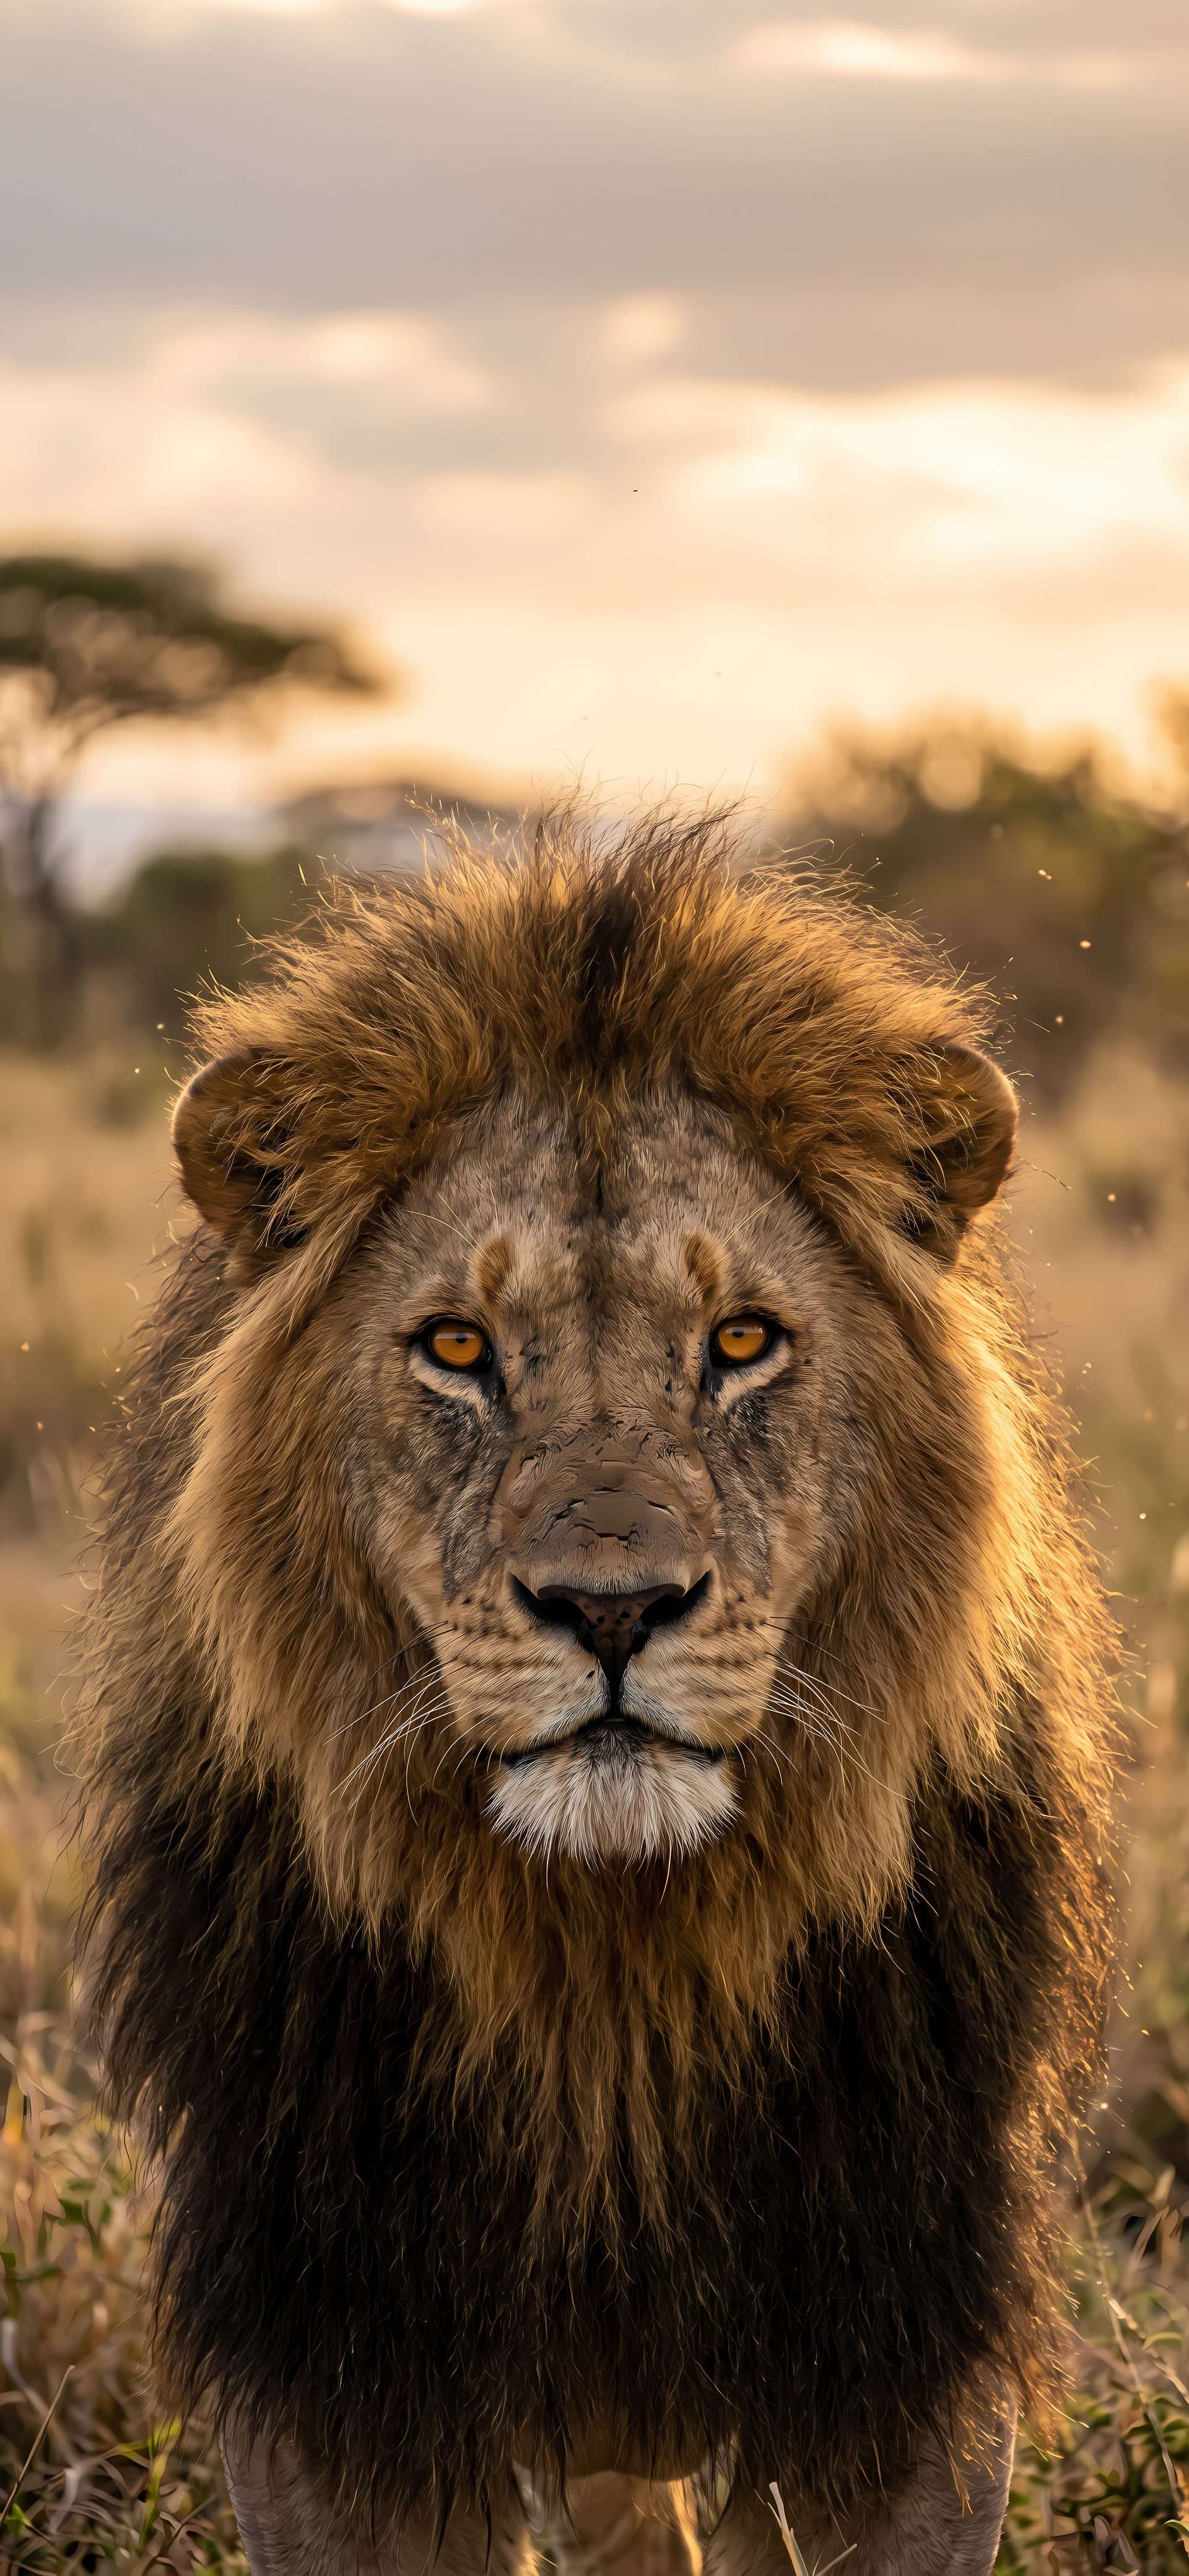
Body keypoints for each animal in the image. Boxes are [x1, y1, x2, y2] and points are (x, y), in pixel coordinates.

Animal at [77, 814, 1115, 2576]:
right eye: (455, 1347)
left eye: (744, 1340)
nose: (613, 1608)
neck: (606, 1977)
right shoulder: (338, 2386)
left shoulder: (895, 2369)